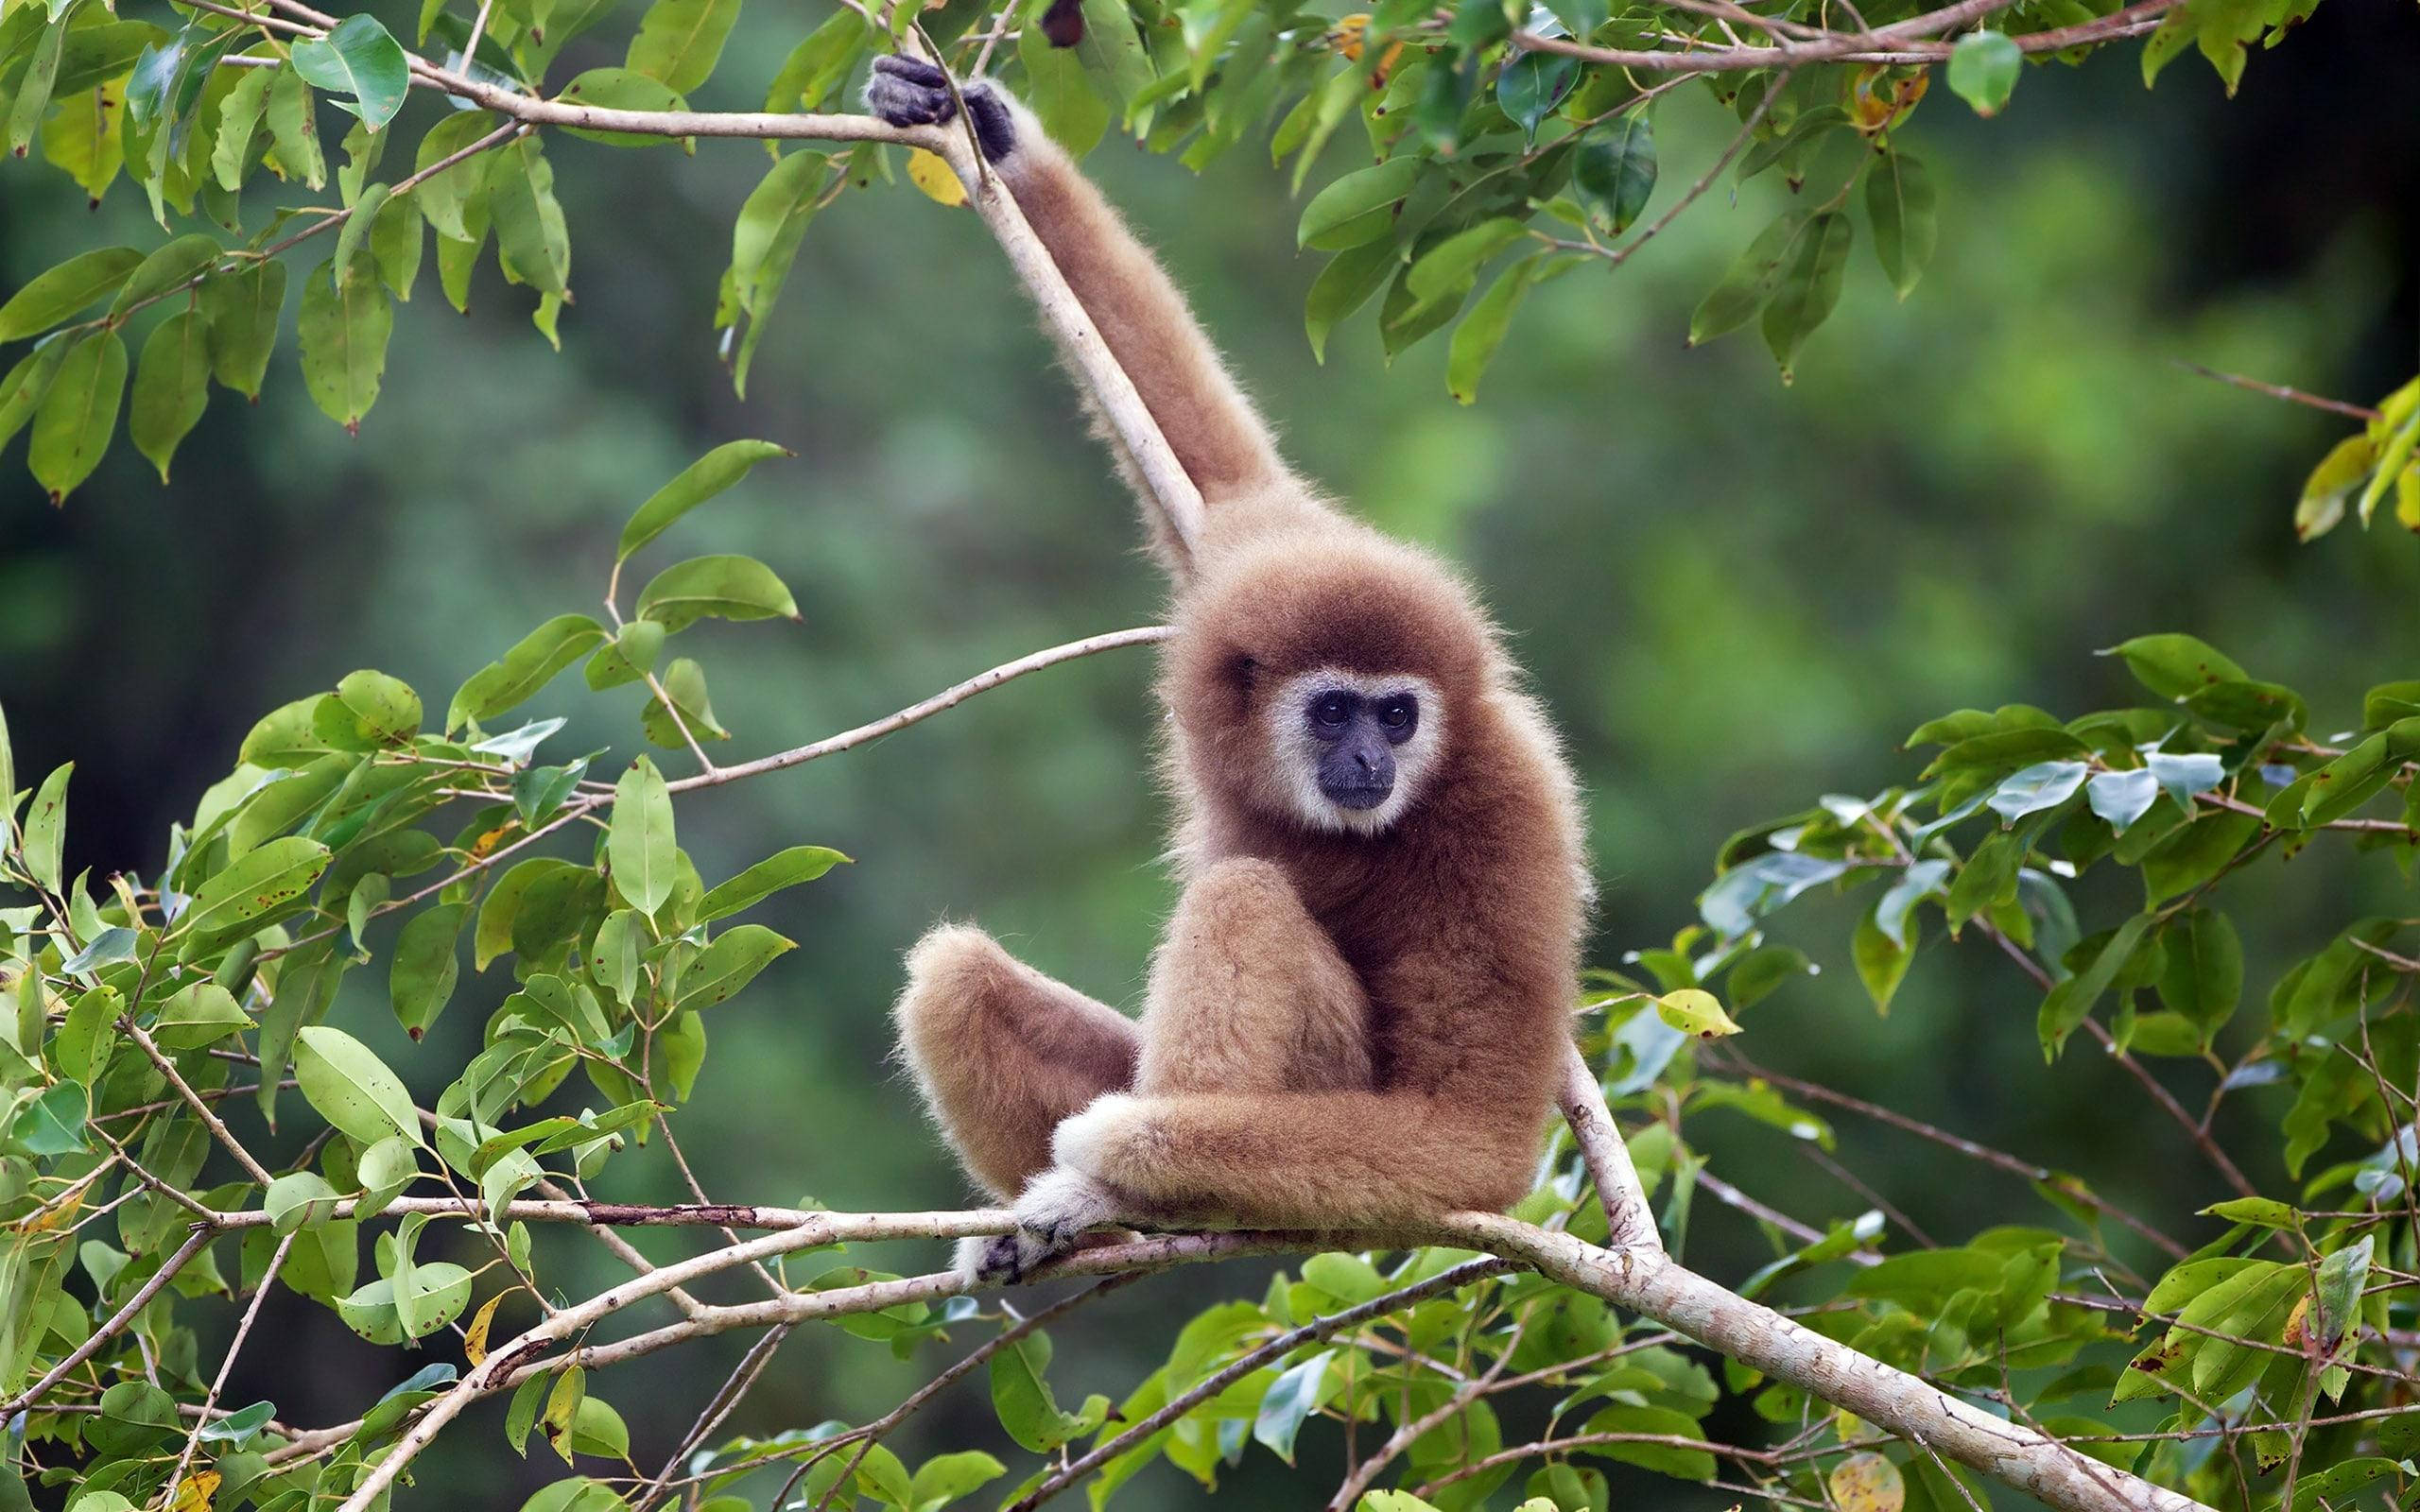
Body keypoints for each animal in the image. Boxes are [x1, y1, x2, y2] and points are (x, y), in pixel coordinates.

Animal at [865, 55, 1591, 1283]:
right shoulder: (1253, 547)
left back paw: (1107, 1194)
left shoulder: (1507, 812)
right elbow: (1211, 459)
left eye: (1400, 717)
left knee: (1242, 898)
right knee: (953, 975)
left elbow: (1471, 1138)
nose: (1367, 758)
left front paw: (1117, 1156)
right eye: (1336, 709)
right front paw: (995, 134)